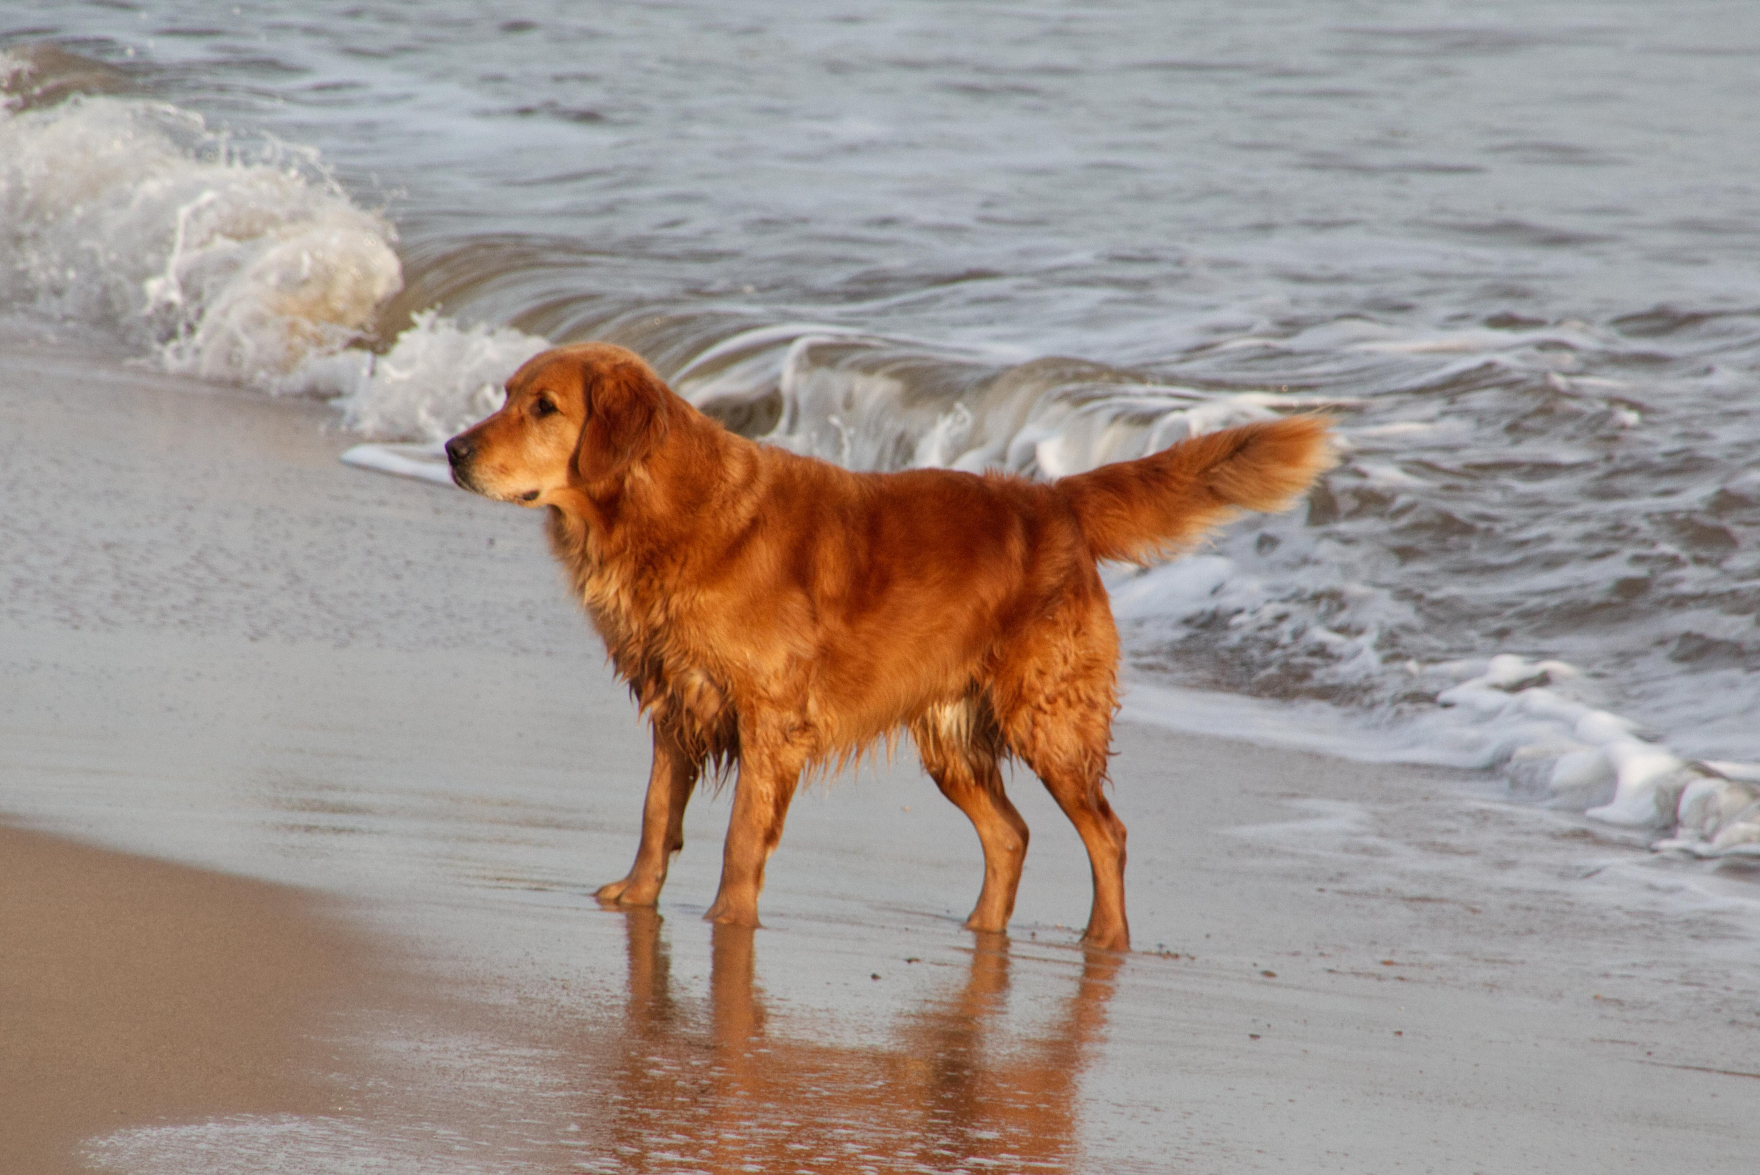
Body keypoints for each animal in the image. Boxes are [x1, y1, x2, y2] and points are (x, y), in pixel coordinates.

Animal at [447, 344, 1323, 949]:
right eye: (506, 396)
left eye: (544, 406)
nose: (454, 449)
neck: (670, 514)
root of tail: (1053, 501)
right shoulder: (677, 703)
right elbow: (656, 811)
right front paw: (636, 897)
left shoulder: (770, 719)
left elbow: (740, 836)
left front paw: (729, 917)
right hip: (951, 737)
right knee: (1010, 833)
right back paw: (982, 934)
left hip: (1049, 718)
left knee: (1106, 832)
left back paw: (1104, 939)